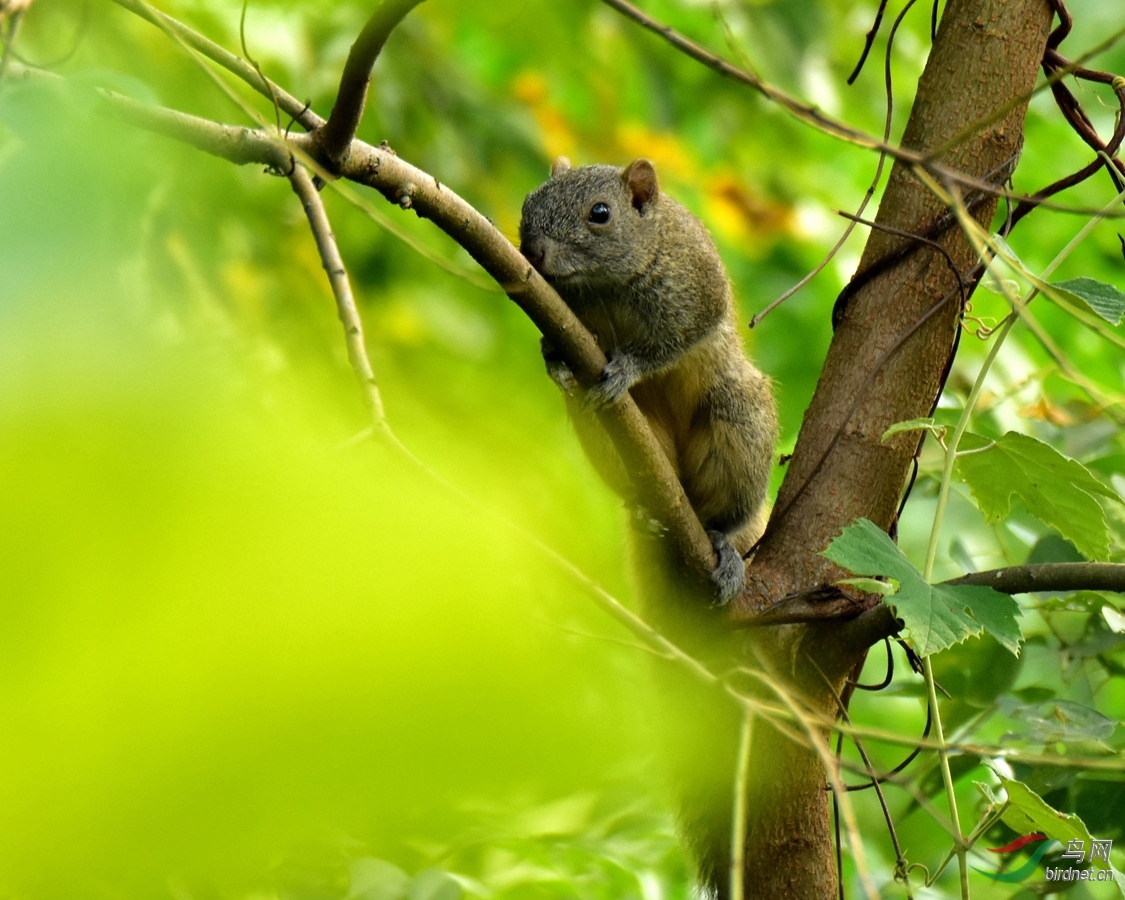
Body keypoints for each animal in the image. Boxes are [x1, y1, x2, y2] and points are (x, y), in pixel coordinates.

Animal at [519, 156, 778, 603]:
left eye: (600, 213)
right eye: (527, 203)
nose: (532, 251)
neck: (602, 285)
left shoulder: (697, 288)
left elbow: (676, 340)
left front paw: (628, 368)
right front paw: (556, 364)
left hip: (740, 422)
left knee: (727, 515)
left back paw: (723, 543)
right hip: (605, 435)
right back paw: (645, 510)